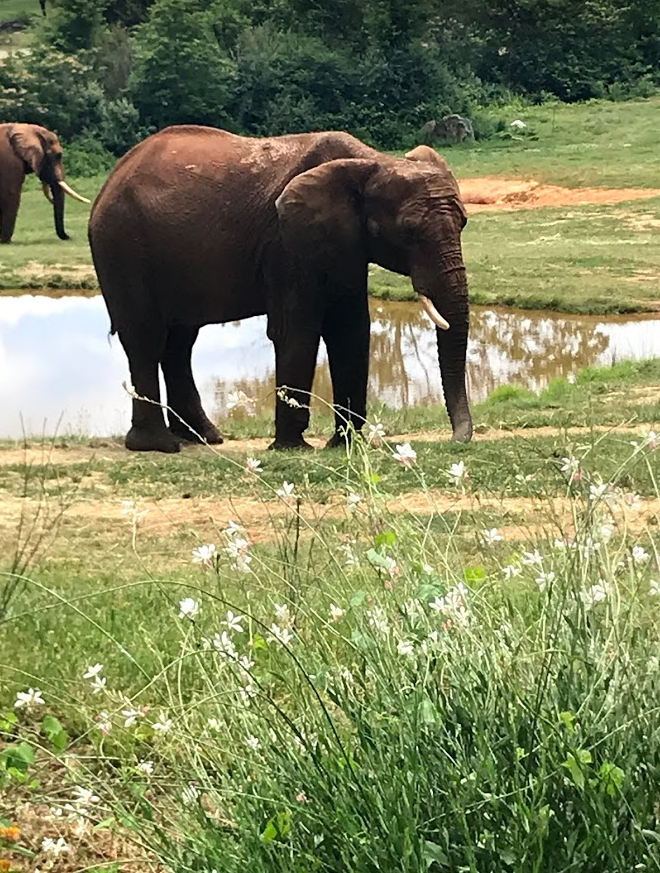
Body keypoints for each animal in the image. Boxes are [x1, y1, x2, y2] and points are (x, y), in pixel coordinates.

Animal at [89, 126, 473, 453]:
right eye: (408, 232)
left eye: (464, 223)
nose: (455, 440)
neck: (373, 162)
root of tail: (111, 179)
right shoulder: (286, 240)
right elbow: (297, 329)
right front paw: (293, 447)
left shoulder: (345, 242)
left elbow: (350, 329)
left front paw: (344, 445)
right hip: (122, 245)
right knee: (146, 339)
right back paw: (158, 445)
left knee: (180, 342)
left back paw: (203, 437)